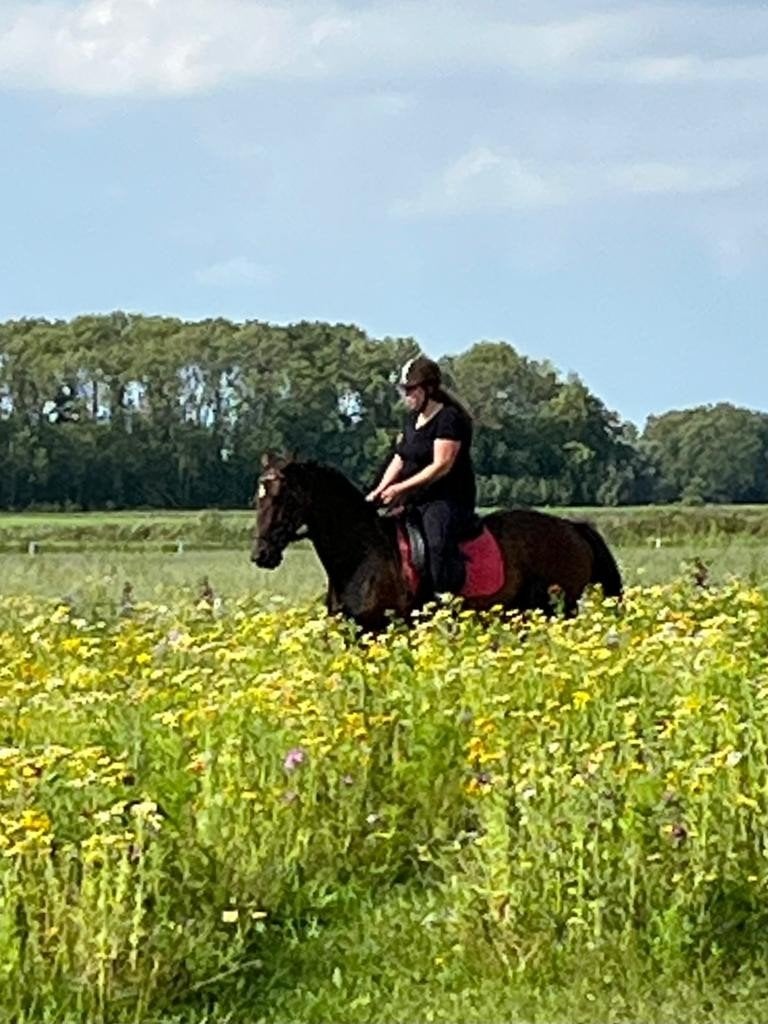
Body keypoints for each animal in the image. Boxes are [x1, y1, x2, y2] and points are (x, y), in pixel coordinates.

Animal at [251, 455, 622, 632]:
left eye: (283, 497)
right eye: (259, 498)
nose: (261, 555)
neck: (360, 554)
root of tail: (572, 528)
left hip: (557, 608)